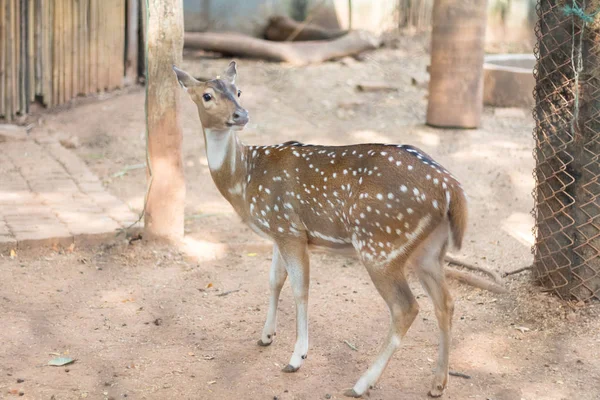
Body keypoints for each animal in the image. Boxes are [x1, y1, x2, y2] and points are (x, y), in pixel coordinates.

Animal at [173, 62, 468, 396]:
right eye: (207, 95)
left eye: (238, 90)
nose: (241, 115)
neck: (244, 181)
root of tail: (451, 189)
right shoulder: (278, 230)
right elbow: (274, 280)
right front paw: (266, 336)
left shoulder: (288, 228)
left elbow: (300, 288)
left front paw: (296, 357)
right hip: (428, 249)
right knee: (446, 302)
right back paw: (438, 383)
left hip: (380, 245)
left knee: (406, 307)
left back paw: (361, 384)